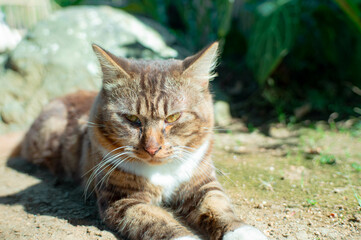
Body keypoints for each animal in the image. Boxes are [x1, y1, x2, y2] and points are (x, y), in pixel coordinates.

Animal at [20, 42, 268, 239]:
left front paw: (244, 232)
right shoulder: (124, 200)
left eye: (173, 117)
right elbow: (158, 222)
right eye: (132, 119)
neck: (163, 171)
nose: (152, 148)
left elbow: (219, 207)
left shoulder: (202, 183)